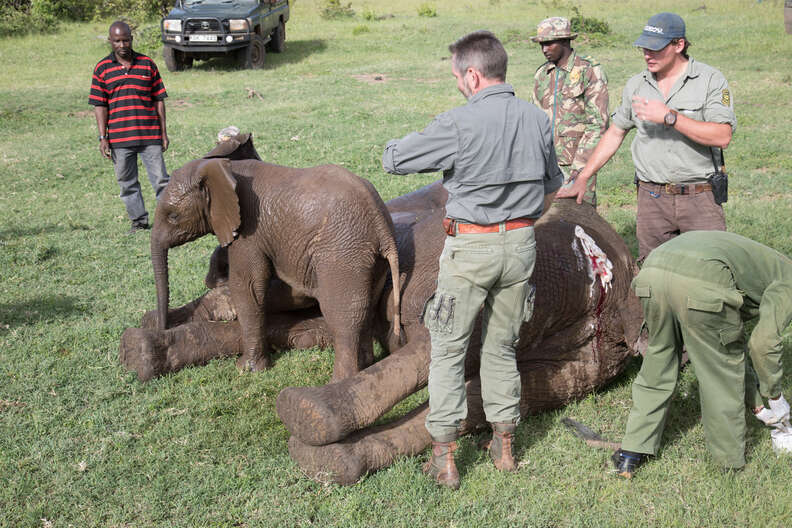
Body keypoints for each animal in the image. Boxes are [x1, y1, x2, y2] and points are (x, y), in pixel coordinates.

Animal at [151, 155, 402, 382]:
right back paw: (367, 365)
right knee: (367, 307)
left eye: (173, 216)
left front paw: (246, 369)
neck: (222, 167)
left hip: (342, 253)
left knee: (344, 317)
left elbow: (248, 287)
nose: (163, 330)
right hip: (369, 259)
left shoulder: (249, 232)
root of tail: (381, 225)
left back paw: (340, 382)